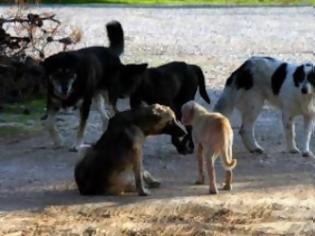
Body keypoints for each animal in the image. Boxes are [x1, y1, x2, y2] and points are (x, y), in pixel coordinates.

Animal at [41, 20, 148, 149]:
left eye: (70, 73)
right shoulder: (52, 103)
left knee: (114, 114)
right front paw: (58, 141)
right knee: (106, 118)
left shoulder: (85, 105)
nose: (64, 88)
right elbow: (48, 123)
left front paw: (77, 145)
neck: (74, 85)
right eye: (56, 74)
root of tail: (110, 51)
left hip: (109, 96)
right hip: (96, 98)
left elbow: (82, 126)